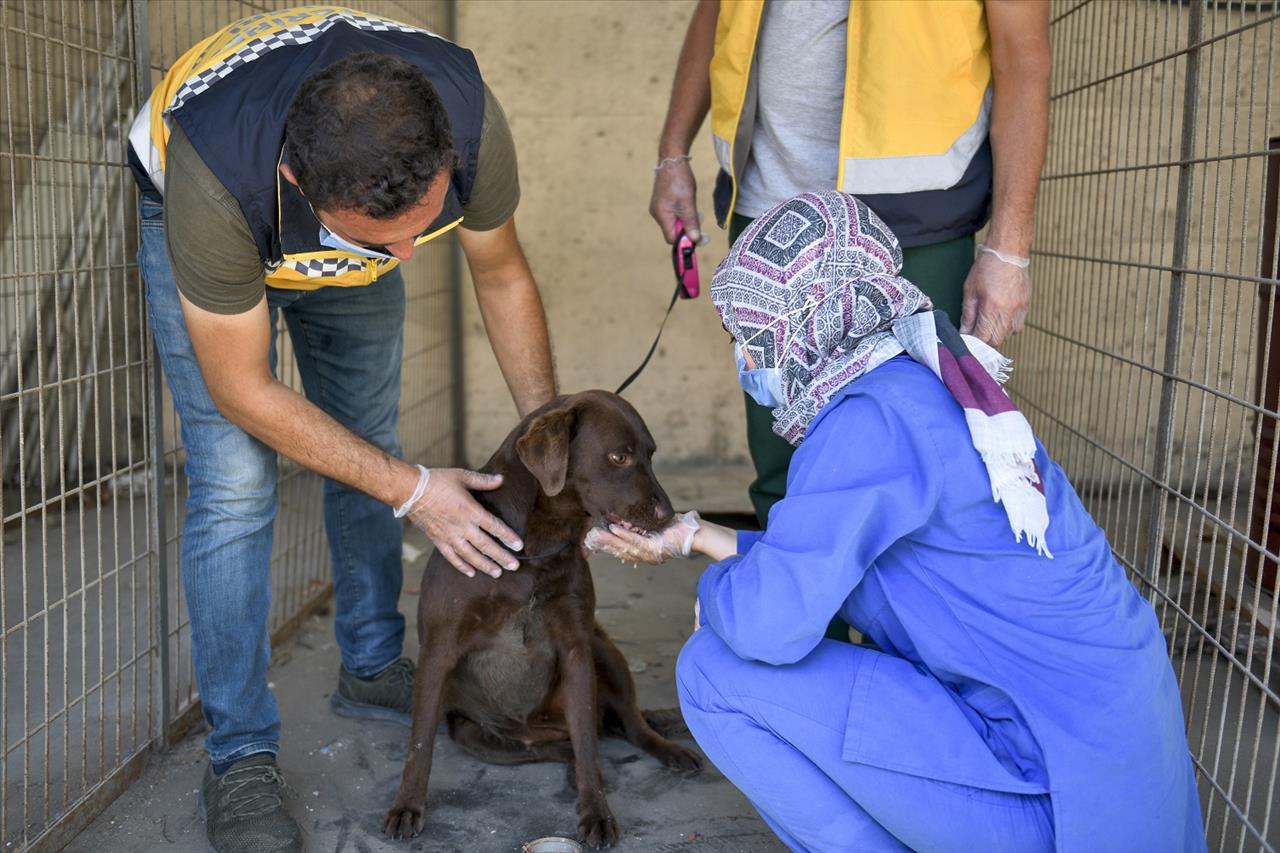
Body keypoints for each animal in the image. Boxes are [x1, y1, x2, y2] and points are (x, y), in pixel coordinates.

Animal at [381, 389, 701, 845]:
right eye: (619, 457)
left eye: (651, 455)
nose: (668, 514)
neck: (535, 544)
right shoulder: (437, 652)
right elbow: (419, 744)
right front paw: (407, 805)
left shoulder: (577, 649)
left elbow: (589, 746)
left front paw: (596, 812)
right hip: (474, 733)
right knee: (556, 745)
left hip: (604, 651)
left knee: (623, 726)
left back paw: (664, 749)